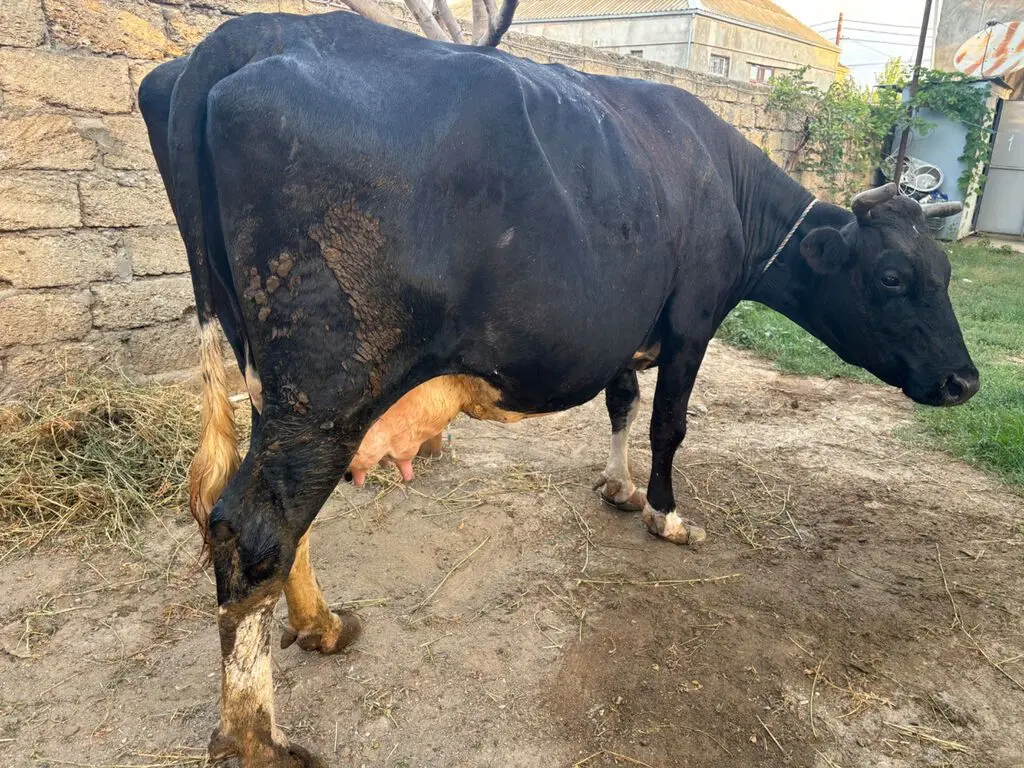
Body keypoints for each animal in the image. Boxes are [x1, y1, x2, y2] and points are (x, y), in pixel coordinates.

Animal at [140, 10, 978, 765]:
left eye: (945, 271)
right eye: (893, 276)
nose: (964, 380)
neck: (718, 178)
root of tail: (244, 35)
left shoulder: (623, 325)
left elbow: (622, 402)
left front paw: (618, 486)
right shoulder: (693, 318)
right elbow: (670, 423)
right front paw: (666, 515)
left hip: (276, 381)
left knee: (271, 517)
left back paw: (322, 626)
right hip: (328, 380)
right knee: (256, 528)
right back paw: (259, 739)